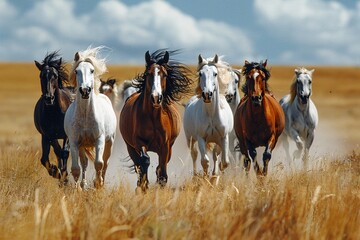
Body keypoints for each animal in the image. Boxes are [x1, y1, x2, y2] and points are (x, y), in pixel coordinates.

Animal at [33, 50, 74, 182]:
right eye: (41, 76)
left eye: (55, 76)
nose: (48, 98)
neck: (54, 113)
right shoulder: (48, 135)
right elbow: (46, 157)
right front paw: (56, 171)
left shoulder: (67, 134)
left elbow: (64, 152)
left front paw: (63, 174)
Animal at [63, 46, 116, 189]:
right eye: (77, 71)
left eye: (92, 70)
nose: (85, 91)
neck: (86, 116)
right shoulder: (74, 142)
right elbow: (76, 168)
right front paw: (78, 189)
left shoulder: (100, 140)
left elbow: (99, 163)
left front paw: (98, 184)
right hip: (83, 146)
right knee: (84, 163)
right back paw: (83, 184)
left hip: (110, 141)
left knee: (106, 163)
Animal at [120, 49, 194, 192]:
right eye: (148, 74)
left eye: (164, 75)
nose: (156, 98)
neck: (153, 117)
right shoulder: (139, 142)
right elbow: (145, 161)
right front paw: (144, 185)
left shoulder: (165, 146)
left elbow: (162, 171)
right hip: (129, 147)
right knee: (138, 164)